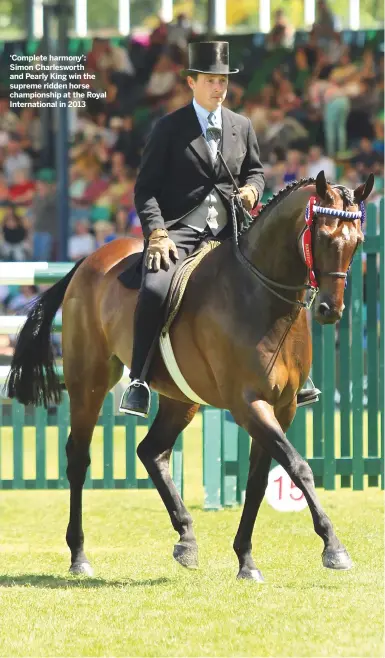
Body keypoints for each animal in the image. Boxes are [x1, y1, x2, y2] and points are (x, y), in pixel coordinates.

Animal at [6, 170, 372, 580]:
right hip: (90, 379)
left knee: (151, 451)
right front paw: (333, 547)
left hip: (180, 399)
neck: (260, 295)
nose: (330, 309)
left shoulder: (283, 407)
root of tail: (89, 260)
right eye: (322, 235)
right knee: (78, 458)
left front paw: (245, 558)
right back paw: (79, 554)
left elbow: (259, 480)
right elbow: (299, 467)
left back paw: (186, 537)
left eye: (356, 242)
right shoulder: (248, 404)